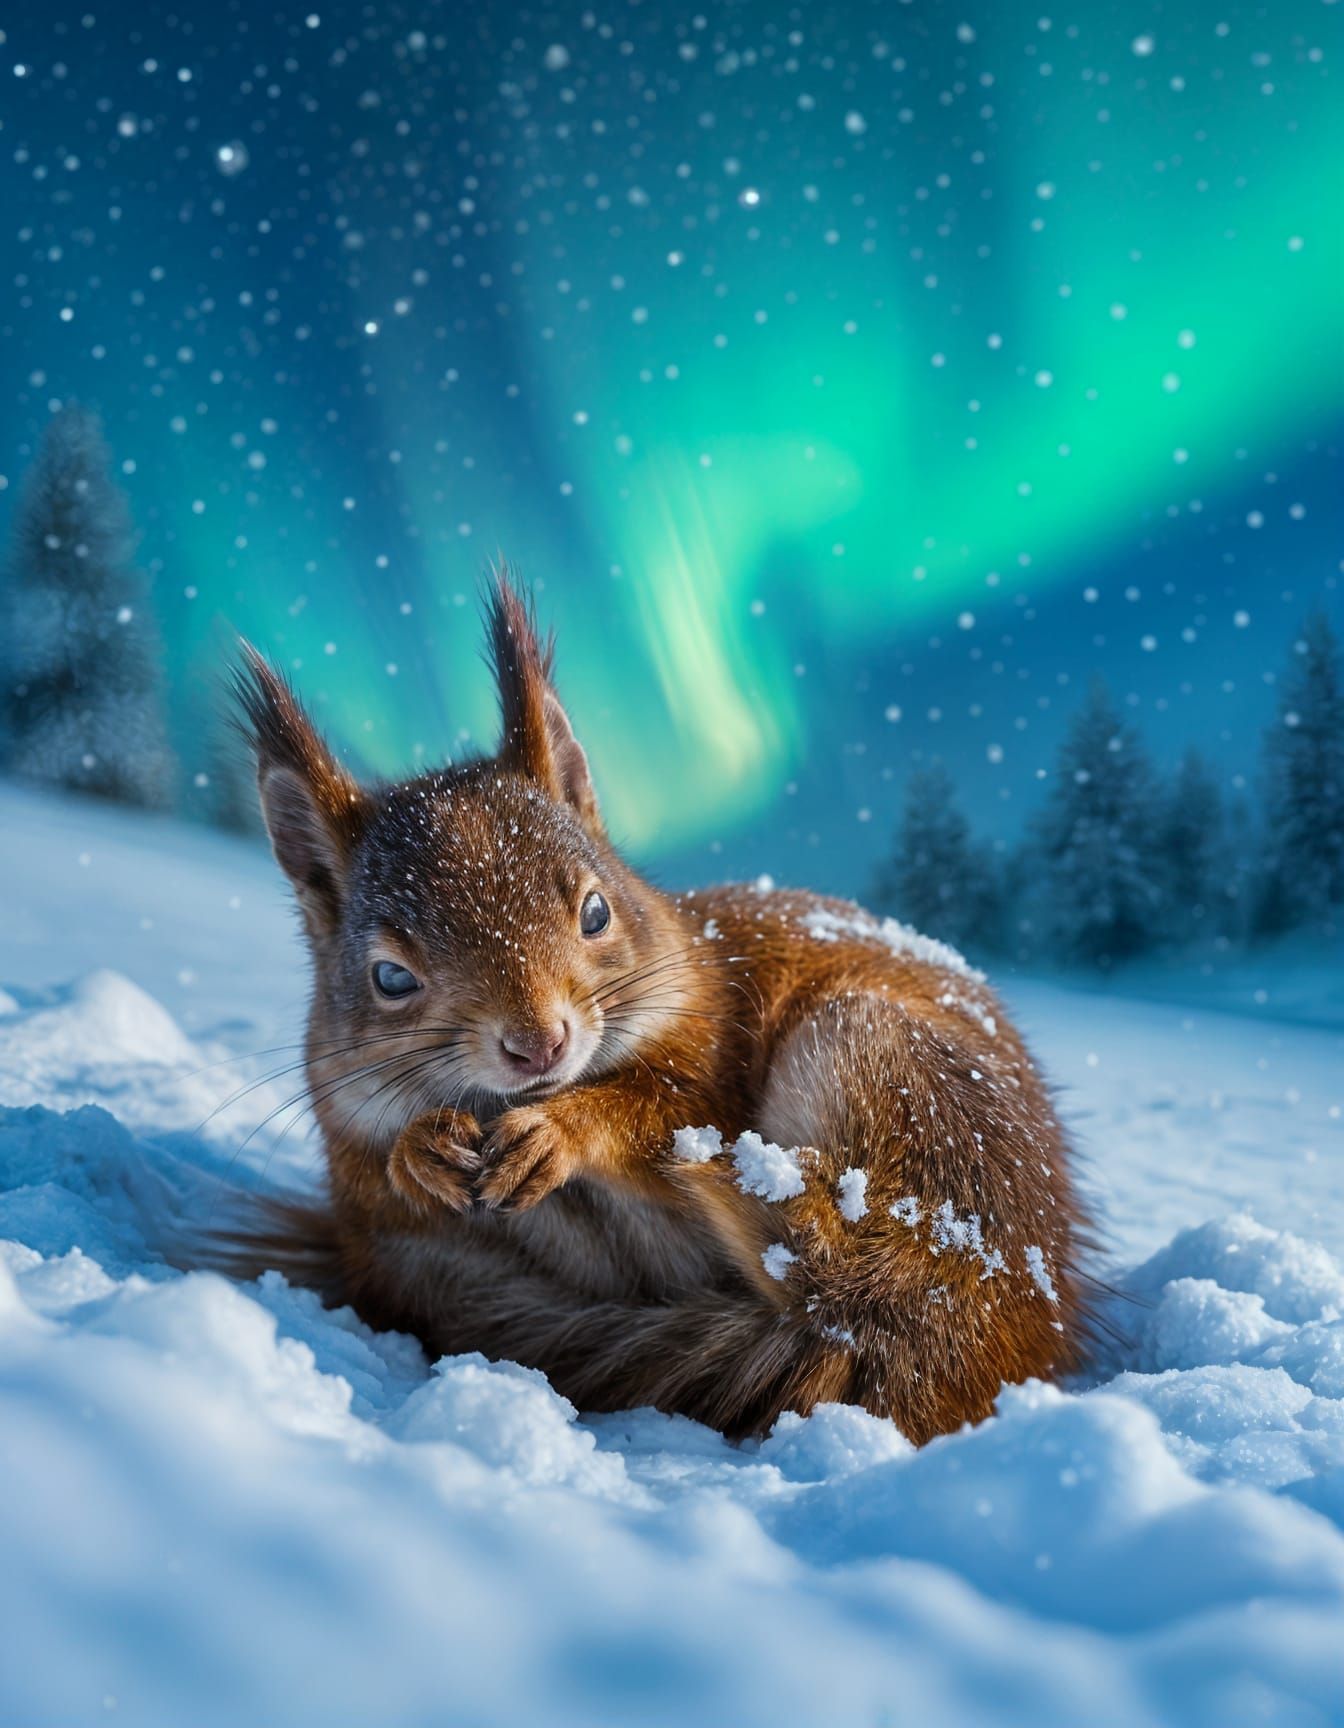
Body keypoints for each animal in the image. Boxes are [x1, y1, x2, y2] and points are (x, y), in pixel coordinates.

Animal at [228, 573, 1094, 1445]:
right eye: (390, 978)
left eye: (596, 913)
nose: (539, 1044)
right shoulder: (358, 1178)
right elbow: (381, 1172)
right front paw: (419, 1150)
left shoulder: (708, 1053)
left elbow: (663, 1109)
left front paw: (562, 1132)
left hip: (891, 1068)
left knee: (862, 1256)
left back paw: (747, 1183)